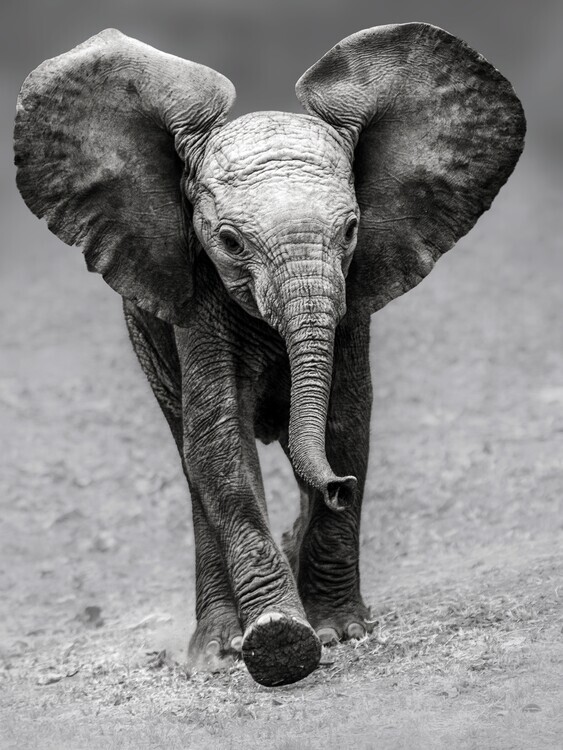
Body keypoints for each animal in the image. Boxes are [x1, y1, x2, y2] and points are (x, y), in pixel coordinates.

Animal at [14, 23, 525, 687]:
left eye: (352, 230)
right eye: (230, 241)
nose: (337, 488)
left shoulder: (350, 298)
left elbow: (346, 423)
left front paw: (339, 631)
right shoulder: (197, 295)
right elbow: (219, 445)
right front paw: (279, 640)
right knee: (190, 457)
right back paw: (216, 648)